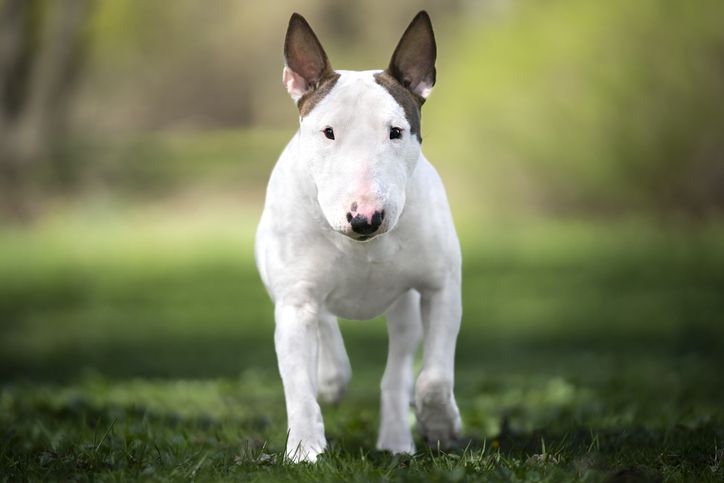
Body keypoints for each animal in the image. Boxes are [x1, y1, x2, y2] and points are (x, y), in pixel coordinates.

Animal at [255, 11, 460, 464]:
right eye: (328, 132)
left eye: (396, 132)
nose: (365, 217)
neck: (362, 247)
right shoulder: (294, 301)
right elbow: (298, 386)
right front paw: (304, 450)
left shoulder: (440, 287)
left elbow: (434, 378)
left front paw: (440, 426)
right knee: (325, 326)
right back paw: (332, 378)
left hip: (404, 308)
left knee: (398, 369)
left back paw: (397, 438)